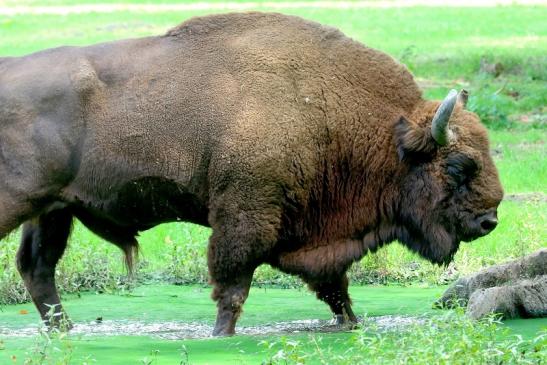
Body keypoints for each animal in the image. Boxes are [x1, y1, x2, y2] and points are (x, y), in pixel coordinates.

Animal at [1, 12, 506, 336]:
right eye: (460, 165)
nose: (489, 221)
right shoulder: (245, 216)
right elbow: (232, 286)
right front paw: (220, 337)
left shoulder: (317, 239)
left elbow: (335, 290)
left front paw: (349, 324)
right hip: (19, 203)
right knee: (35, 267)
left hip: (53, 209)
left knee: (37, 267)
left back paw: (66, 332)